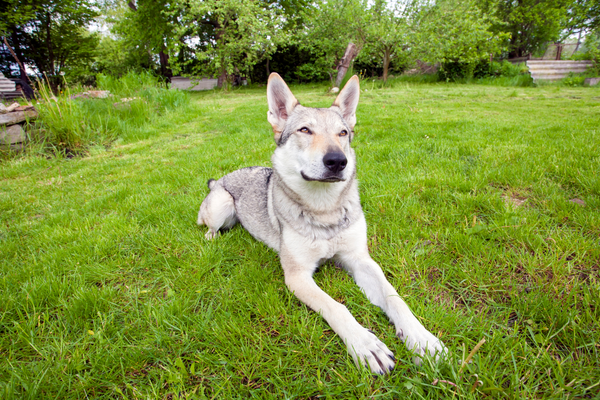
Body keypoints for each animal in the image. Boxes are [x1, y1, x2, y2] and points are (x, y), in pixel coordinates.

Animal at [197, 72, 446, 376]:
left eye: (343, 133)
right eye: (305, 130)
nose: (338, 161)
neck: (324, 209)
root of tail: (220, 178)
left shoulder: (360, 260)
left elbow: (394, 298)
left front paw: (422, 339)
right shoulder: (297, 276)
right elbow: (337, 307)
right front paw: (366, 345)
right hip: (221, 205)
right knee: (209, 227)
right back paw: (213, 239)